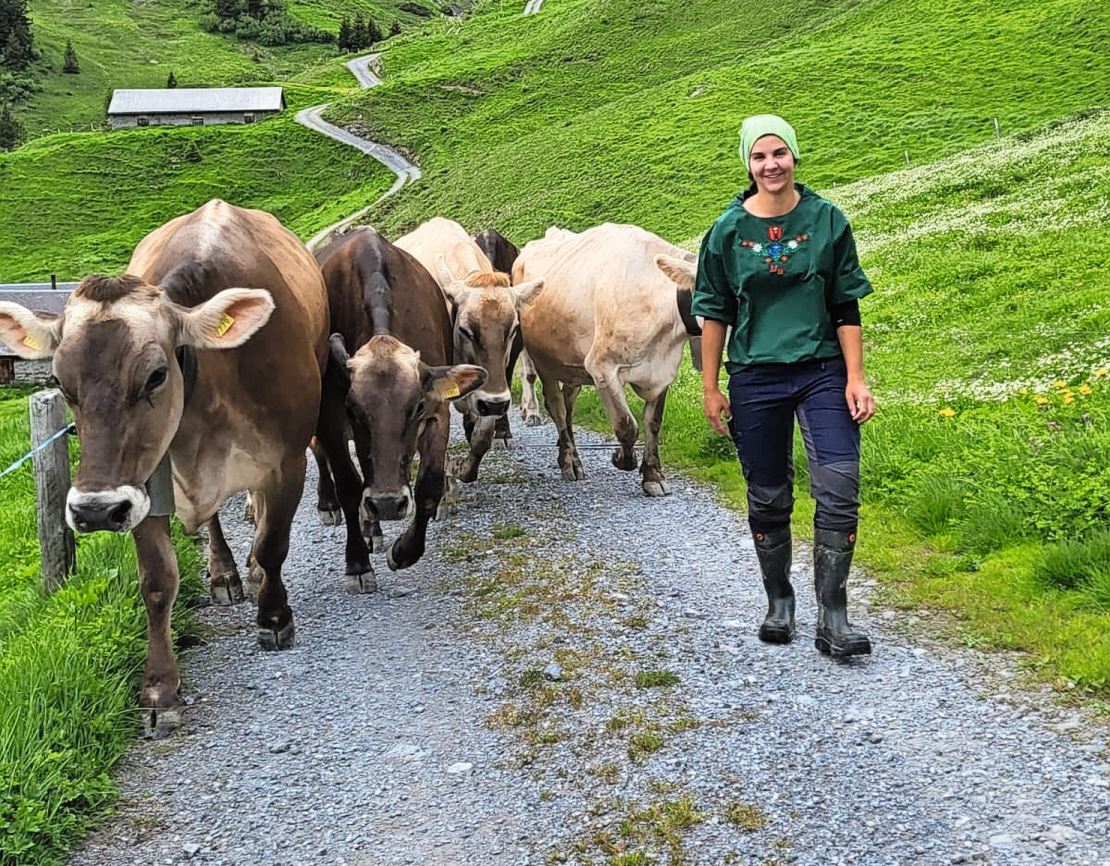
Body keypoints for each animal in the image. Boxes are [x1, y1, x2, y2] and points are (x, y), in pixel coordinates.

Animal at [0, 199, 328, 732]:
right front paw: (159, 688)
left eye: (155, 375)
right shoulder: (140, 488)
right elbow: (157, 581)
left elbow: (273, 543)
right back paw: (224, 573)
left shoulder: (287, 460)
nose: (93, 511)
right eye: (60, 382)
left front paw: (275, 617)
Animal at [313, 223, 486, 590]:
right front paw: (357, 564)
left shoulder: (438, 409)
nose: (388, 504)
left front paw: (405, 551)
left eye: (417, 406)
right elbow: (349, 486)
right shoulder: (329, 415)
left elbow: (429, 485)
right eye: (352, 409)